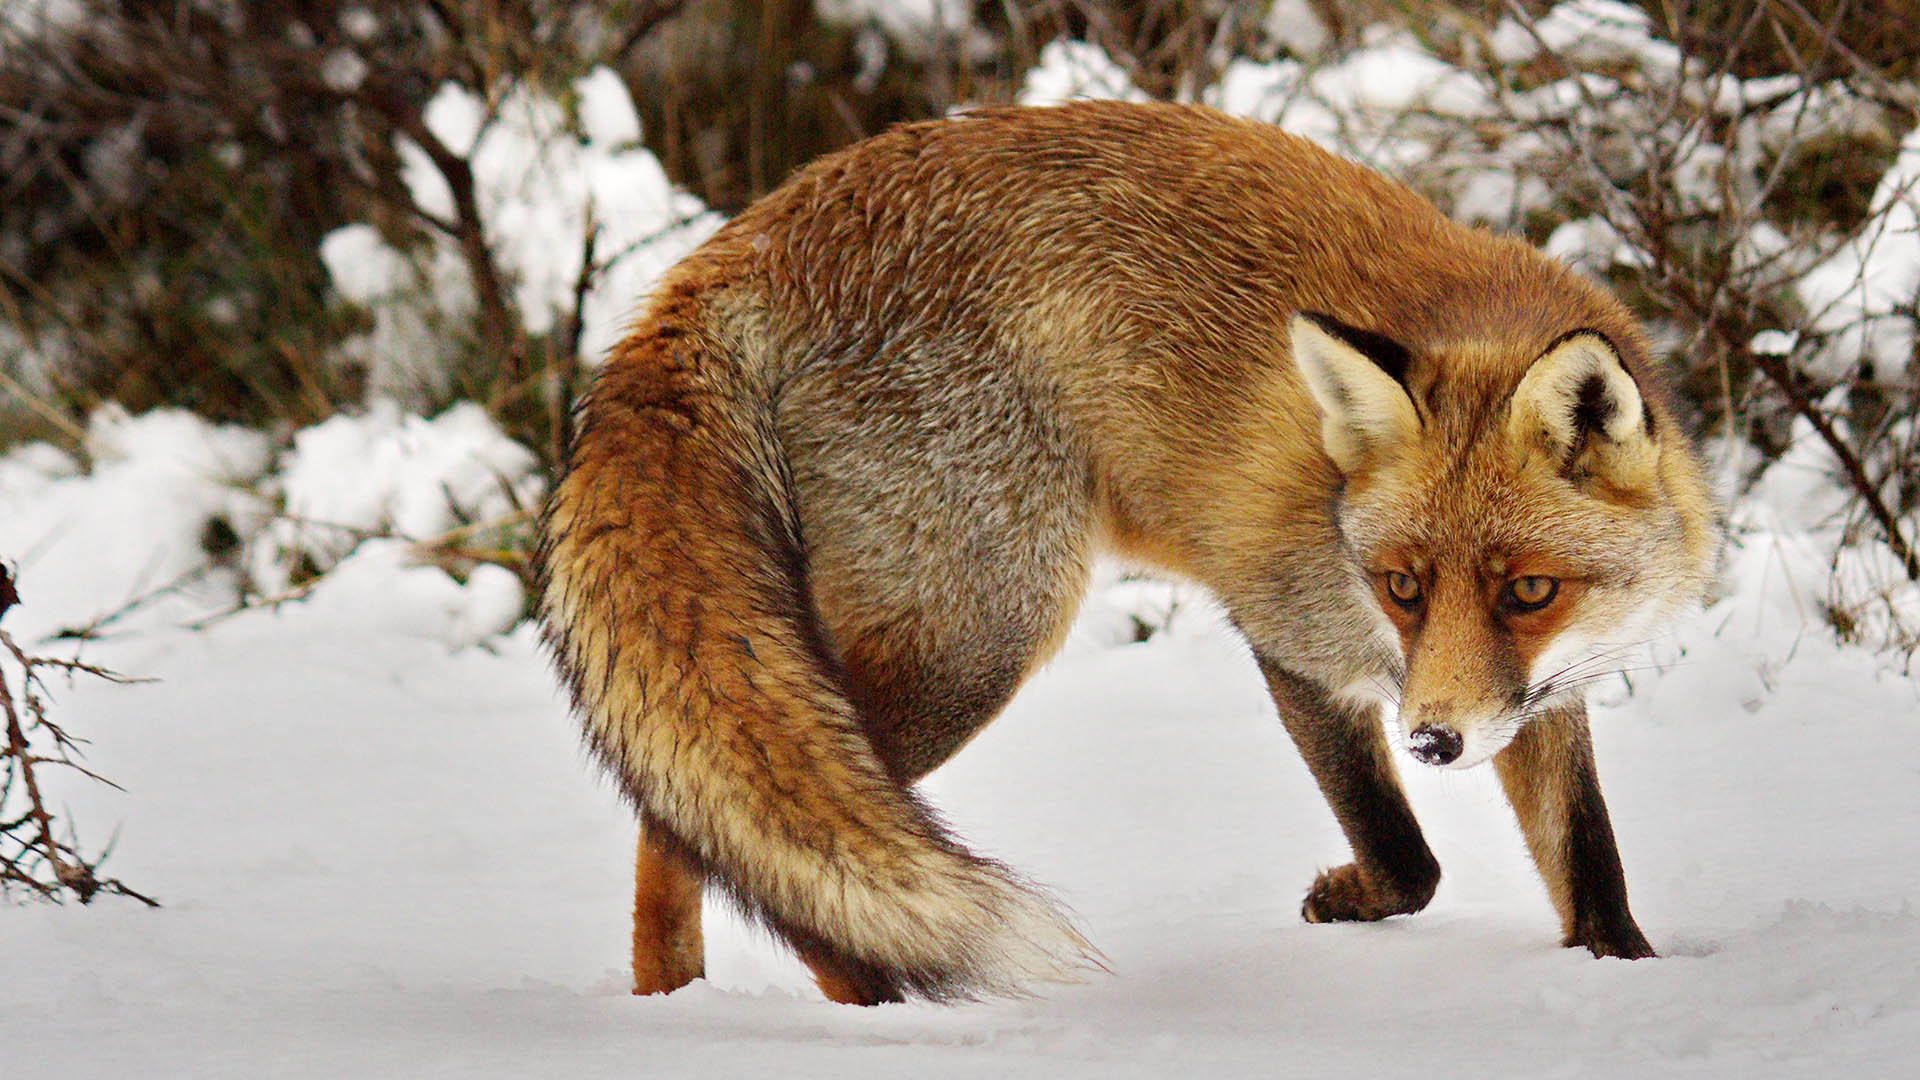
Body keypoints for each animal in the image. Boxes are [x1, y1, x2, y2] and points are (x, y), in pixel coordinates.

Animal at [537, 100, 1728, 999]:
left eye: (1530, 591)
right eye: (1399, 586)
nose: (1434, 743)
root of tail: (750, 237)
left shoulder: (1539, 695)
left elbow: (1589, 869)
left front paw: (1624, 985)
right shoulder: (1286, 630)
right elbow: (1409, 861)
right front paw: (1347, 899)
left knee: (692, 818)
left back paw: (677, 1005)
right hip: (976, 638)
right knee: (712, 830)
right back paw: (857, 1011)